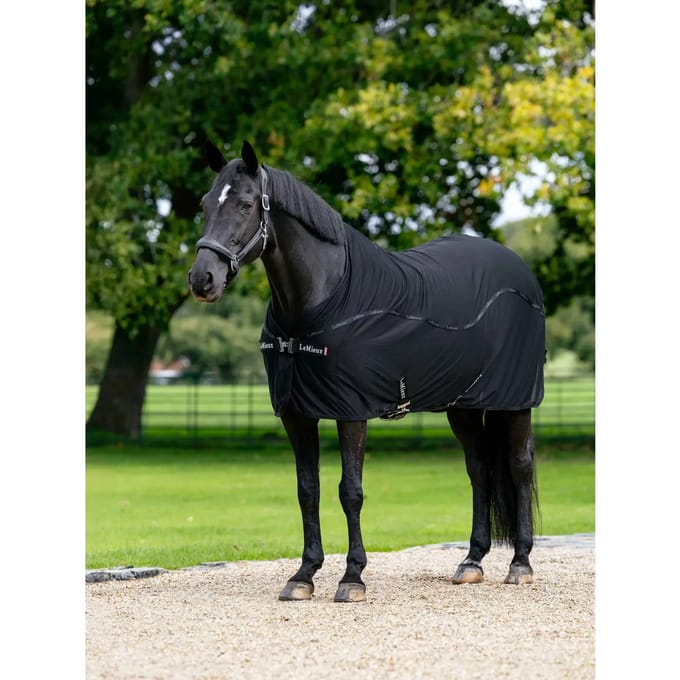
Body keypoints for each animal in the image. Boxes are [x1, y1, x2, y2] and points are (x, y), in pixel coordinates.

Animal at [188, 140, 545, 602]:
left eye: (247, 204)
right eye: (204, 203)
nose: (202, 279)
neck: (321, 301)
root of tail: (518, 267)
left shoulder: (351, 411)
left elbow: (350, 491)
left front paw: (352, 577)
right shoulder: (296, 413)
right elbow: (308, 490)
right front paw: (303, 575)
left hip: (513, 402)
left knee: (519, 466)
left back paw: (520, 563)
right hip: (463, 406)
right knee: (480, 468)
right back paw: (472, 562)